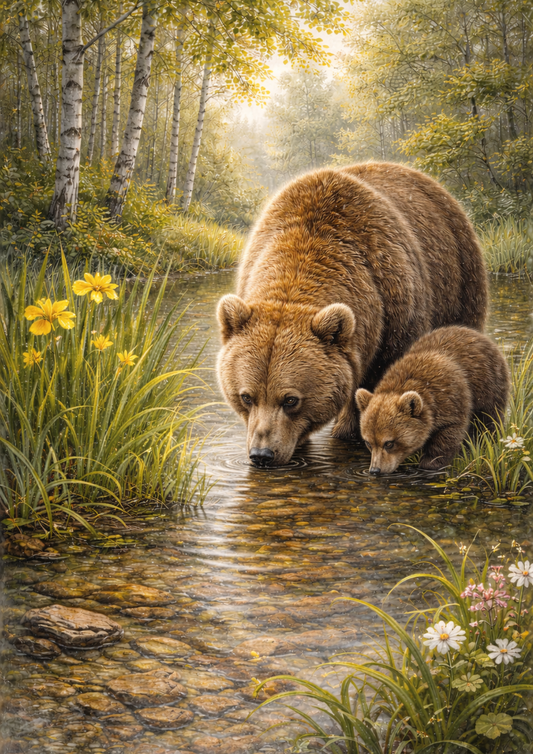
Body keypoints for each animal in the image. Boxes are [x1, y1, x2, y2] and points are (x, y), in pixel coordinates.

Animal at [216, 162, 488, 467]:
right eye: (246, 397)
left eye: (290, 399)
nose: (262, 455)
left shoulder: (394, 315)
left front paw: (348, 432)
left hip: (461, 279)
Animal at [355, 326, 510, 473]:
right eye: (368, 442)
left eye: (389, 443)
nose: (375, 470)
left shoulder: (451, 398)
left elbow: (449, 432)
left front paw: (430, 463)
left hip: (488, 384)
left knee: (489, 418)